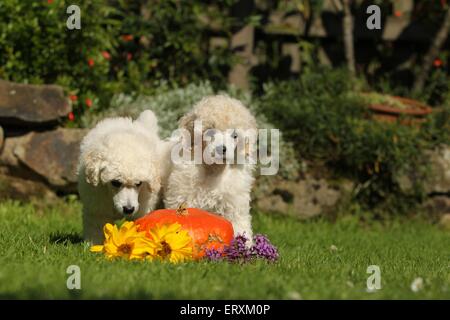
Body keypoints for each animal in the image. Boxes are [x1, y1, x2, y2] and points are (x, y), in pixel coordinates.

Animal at [78, 110, 163, 242]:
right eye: (116, 182)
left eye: (138, 183)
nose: (128, 209)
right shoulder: (96, 205)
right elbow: (96, 226)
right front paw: (94, 244)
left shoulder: (143, 206)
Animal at [164, 95, 256, 240]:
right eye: (210, 131)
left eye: (235, 135)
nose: (221, 149)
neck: (214, 169)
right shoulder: (182, 196)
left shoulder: (235, 205)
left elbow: (240, 226)